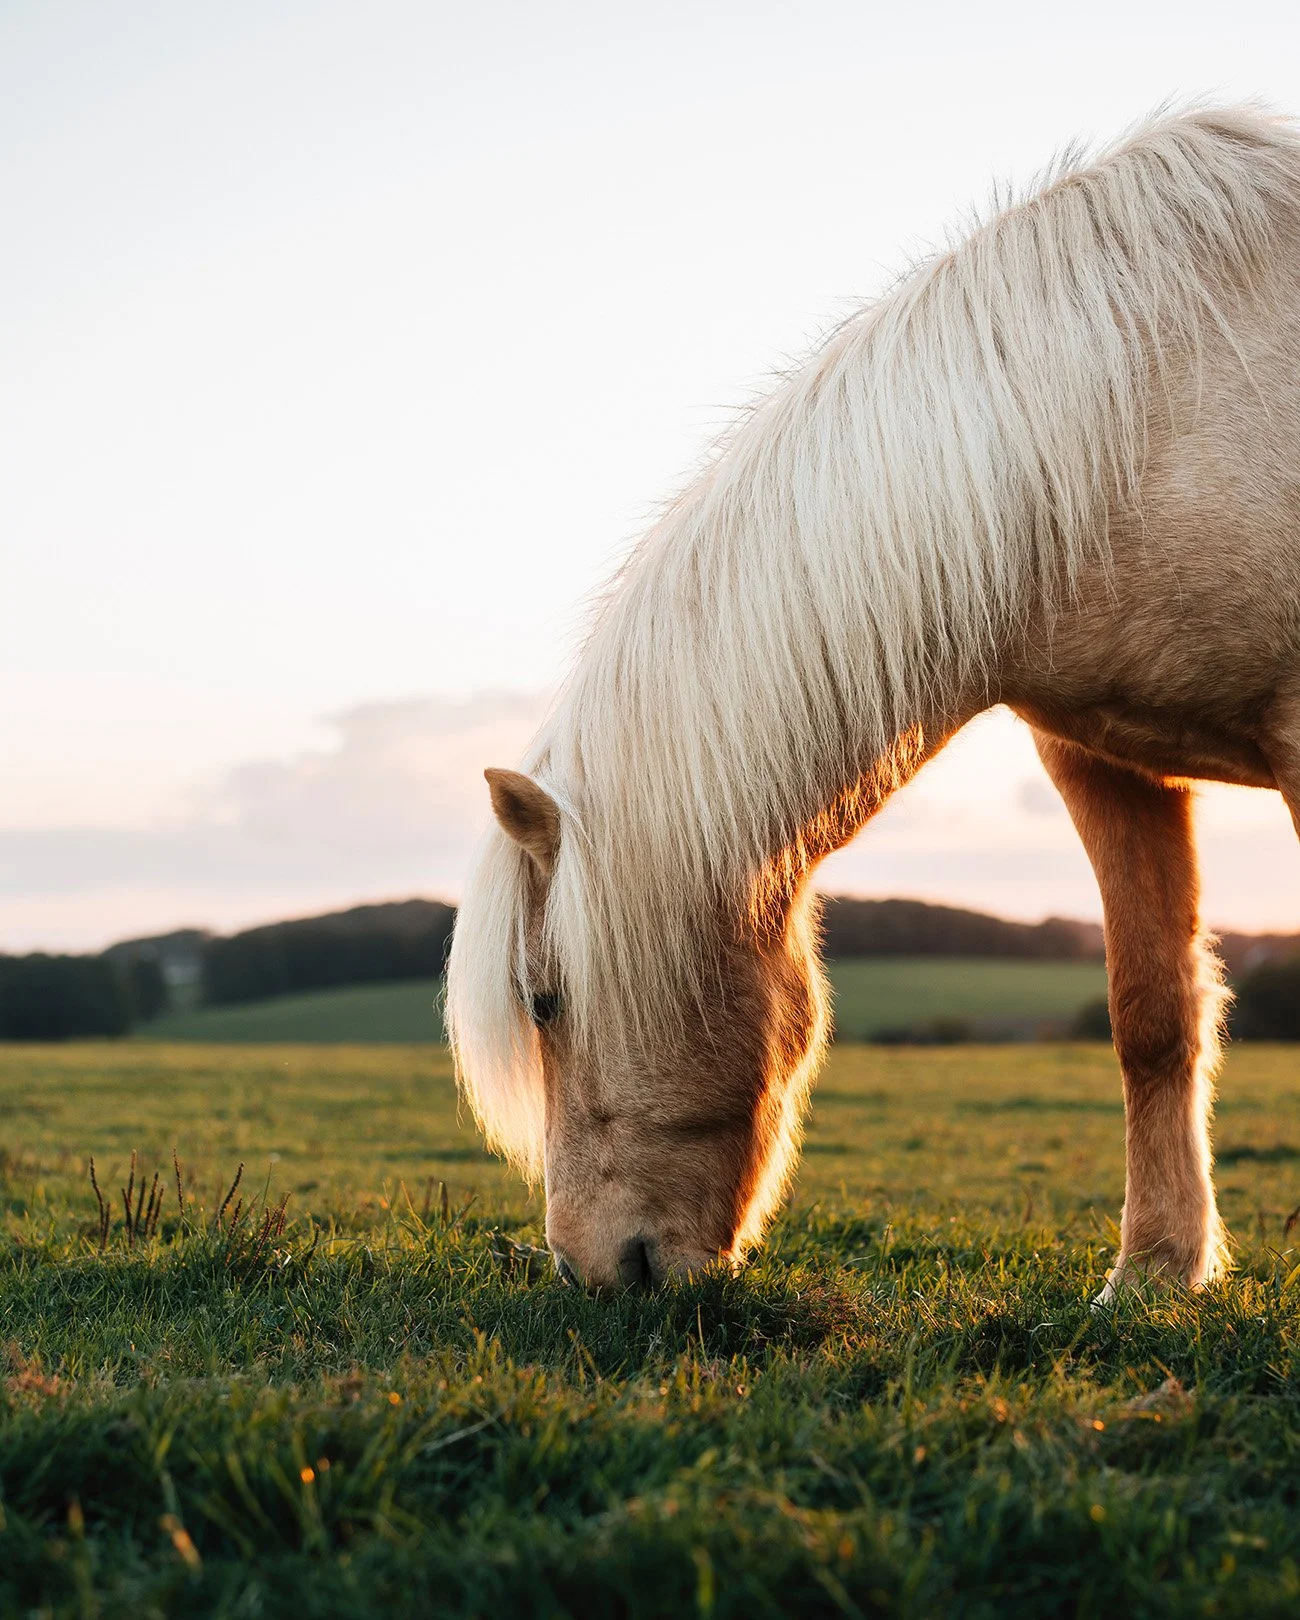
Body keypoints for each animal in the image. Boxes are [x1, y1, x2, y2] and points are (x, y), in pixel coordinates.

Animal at [447, 104, 1300, 1298]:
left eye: (545, 1000)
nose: (592, 1268)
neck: (1152, 411)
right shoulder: (1109, 761)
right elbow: (1152, 1015)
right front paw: (1154, 1275)